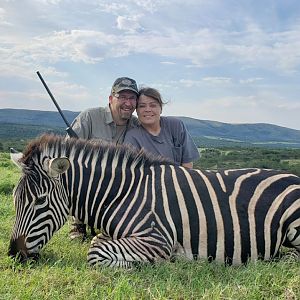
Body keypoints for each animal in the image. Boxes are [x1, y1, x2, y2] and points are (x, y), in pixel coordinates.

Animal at [8, 134, 298, 268]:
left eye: (40, 201)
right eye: (14, 199)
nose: (13, 255)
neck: (123, 194)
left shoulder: (156, 238)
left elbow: (95, 252)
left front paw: (161, 261)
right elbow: (97, 241)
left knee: (293, 256)